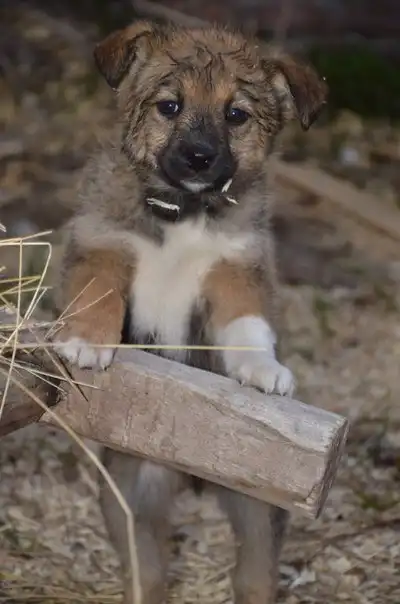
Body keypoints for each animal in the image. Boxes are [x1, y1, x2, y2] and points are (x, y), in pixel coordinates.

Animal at [54, 19, 327, 604]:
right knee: (149, 571)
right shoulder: (102, 245)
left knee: (254, 574)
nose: (201, 157)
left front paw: (264, 369)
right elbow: (98, 293)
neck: (184, 212)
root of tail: (191, 473)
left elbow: (248, 327)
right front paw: (87, 339)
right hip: (132, 498)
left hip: (257, 505)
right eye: (169, 106)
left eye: (235, 115)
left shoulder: (236, 270)